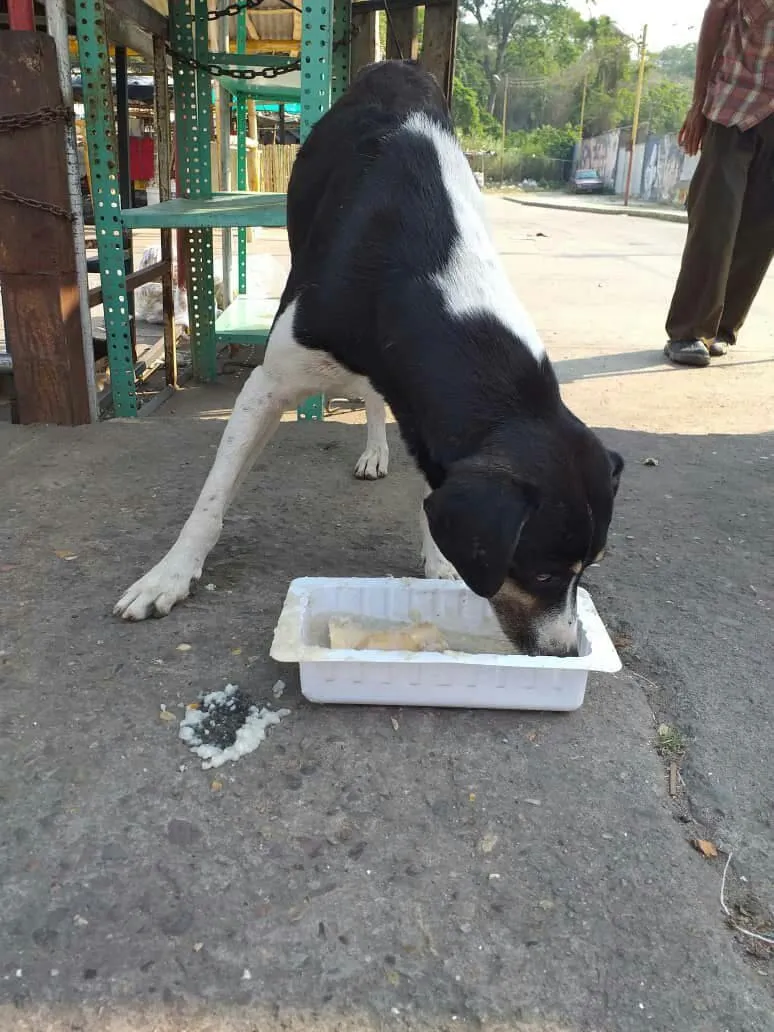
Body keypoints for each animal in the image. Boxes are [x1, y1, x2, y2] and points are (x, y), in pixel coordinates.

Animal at [115, 64, 623, 656]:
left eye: (590, 568)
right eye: (542, 572)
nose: (564, 651)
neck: (424, 266)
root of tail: (396, 66)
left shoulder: (428, 416)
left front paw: (440, 561)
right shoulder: (267, 383)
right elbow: (211, 499)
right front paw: (169, 576)